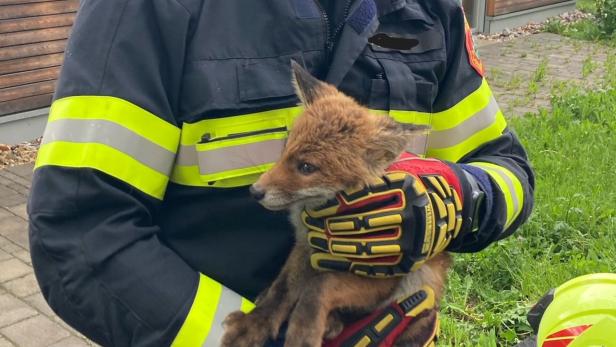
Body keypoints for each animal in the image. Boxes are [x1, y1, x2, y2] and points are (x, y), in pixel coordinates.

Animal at [219, 62, 450, 347]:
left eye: (307, 167)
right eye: (285, 148)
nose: (255, 191)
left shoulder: (384, 274)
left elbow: (321, 286)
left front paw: (303, 332)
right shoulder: (306, 248)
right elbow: (282, 289)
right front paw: (253, 325)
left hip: (423, 279)